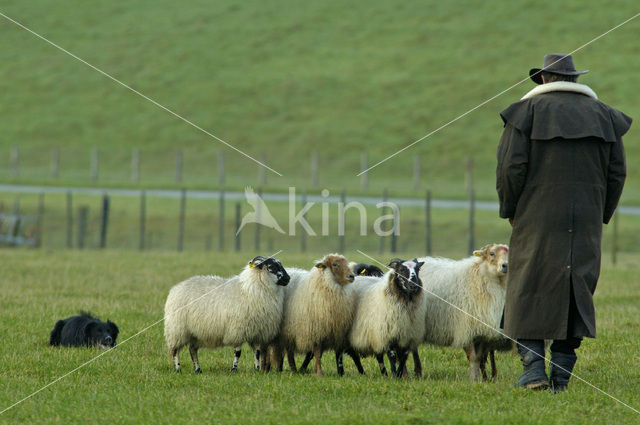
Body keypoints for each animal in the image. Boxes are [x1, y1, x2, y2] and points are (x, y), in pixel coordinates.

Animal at [162, 255, 290, 372]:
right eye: (271, 267)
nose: (288, 279)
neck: (251, 289)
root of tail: (176, 288)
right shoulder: (237, 330)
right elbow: (238, 352)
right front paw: (234, 369)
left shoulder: (257, 332)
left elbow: (257, 352)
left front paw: (257, 370)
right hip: (177, 329)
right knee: (175, 350)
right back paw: (178, 369)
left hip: (195, 332)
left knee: (192, 350)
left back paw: (198, 369)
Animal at [416, 243, 510, 380]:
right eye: (492, 253)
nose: (505, 265)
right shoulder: (466, 327)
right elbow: (472, 357)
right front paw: (473, 379)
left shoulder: (481, 330)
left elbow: (478, 357)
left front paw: (478, 379)